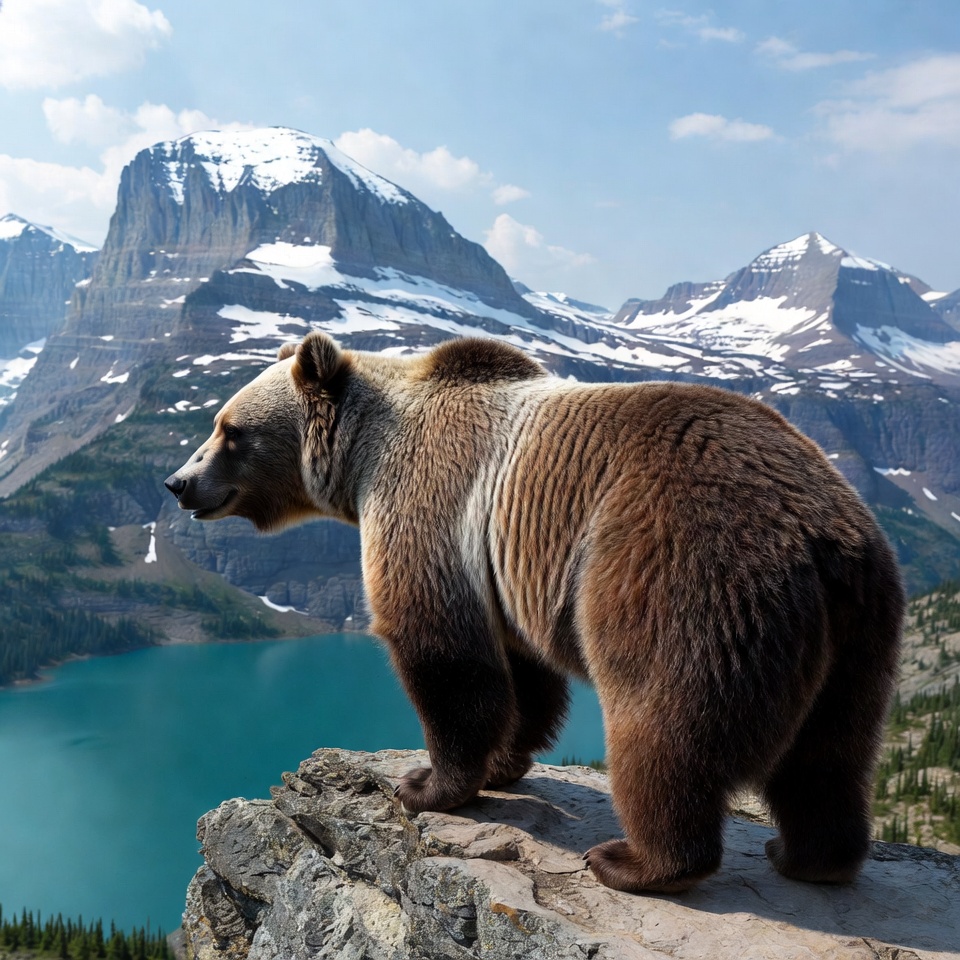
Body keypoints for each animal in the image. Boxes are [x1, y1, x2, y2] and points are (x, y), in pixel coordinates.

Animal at [165, 331, 904, 894]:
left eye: (229, 430)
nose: (178, 482)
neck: (360, 459)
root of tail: (819, 534)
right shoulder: (503, 568)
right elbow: (522, 674)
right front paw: (503, 762)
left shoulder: (430, 504)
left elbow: (442, 652)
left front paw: (425, 783)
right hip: (860, 633)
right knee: (830, 753)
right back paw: (809, 856)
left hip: (686, 575)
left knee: (664, 725)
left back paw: (635, 861)